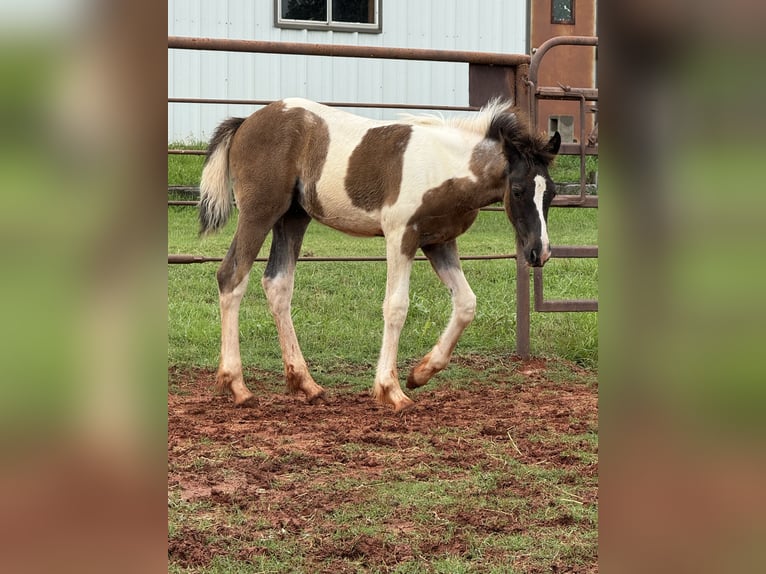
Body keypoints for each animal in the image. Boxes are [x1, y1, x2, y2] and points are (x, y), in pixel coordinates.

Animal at [199, 98, 561, 412]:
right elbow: (396, 307)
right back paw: (236, 385)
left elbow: (466, 303)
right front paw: (391, 390)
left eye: (553, 194)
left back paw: (305, 383)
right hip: (259, 212)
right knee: (231, 275)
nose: (539, 252)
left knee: (277, 284)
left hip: (293, 218)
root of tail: (246, 122)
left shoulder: (438, 242)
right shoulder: (401, 235)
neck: (444, 166)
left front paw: (420, 373)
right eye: (518, 190)